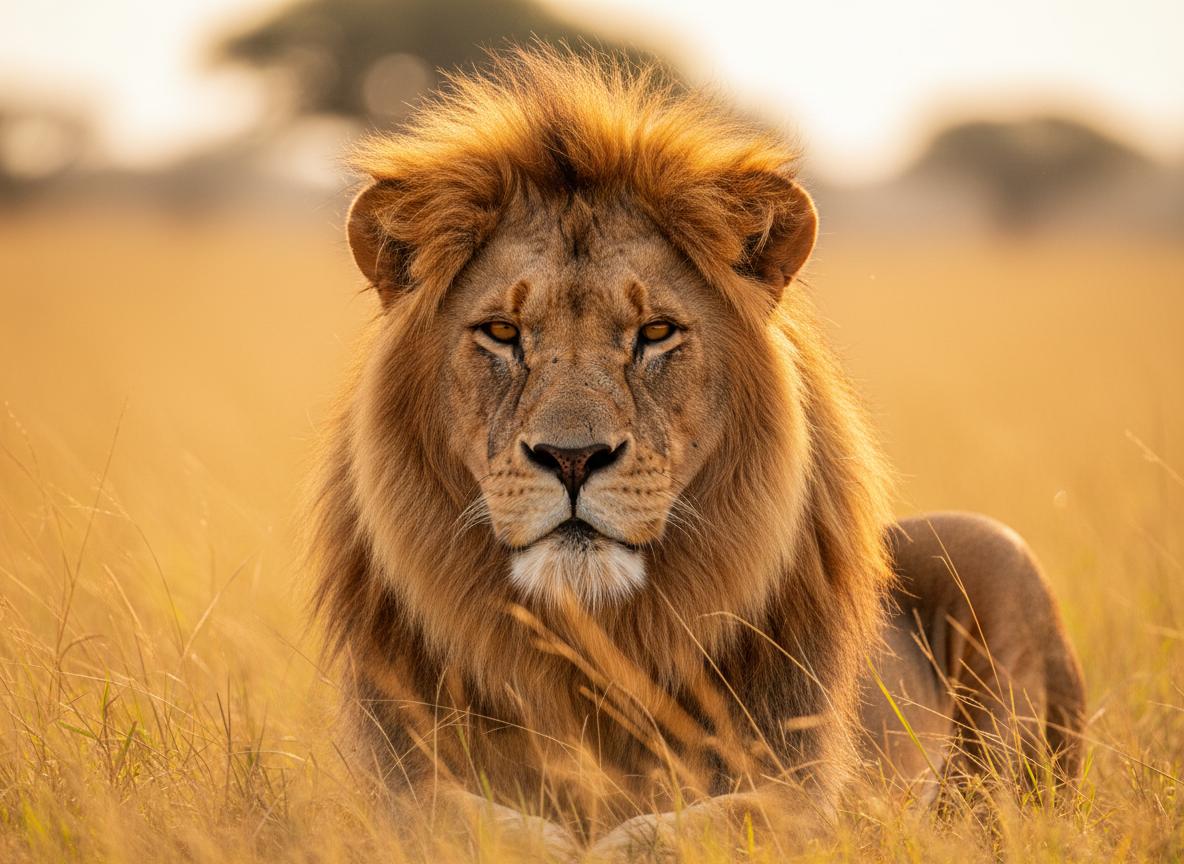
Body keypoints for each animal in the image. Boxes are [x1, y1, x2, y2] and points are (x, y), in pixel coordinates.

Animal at [310, 48, 1085, 856]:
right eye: (501, 332)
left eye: (655, 333)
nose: (572, 458)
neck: (594, 641)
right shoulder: (385, 774)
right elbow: (434, 814)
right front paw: (547, 840)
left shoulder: (810, 788)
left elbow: (721, 820)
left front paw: (612, 844)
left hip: (994, 554)